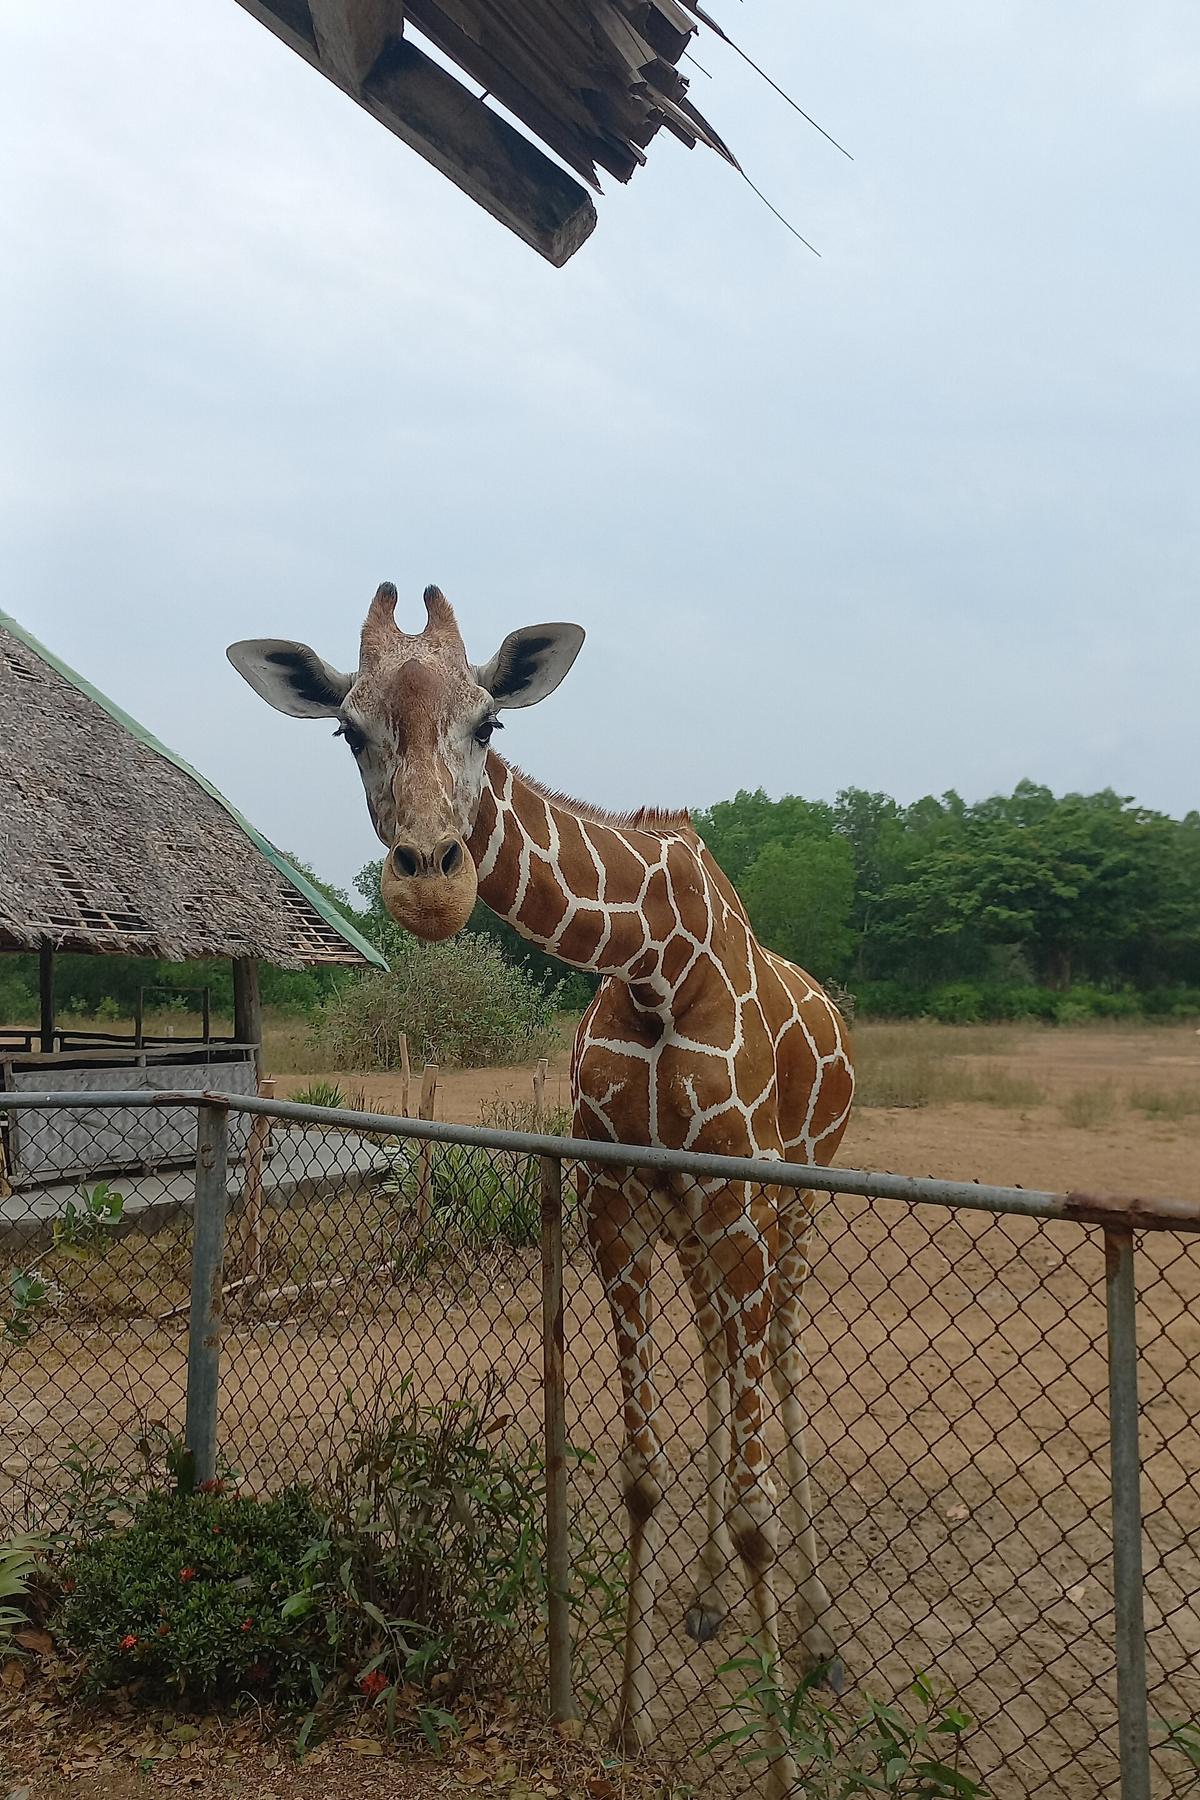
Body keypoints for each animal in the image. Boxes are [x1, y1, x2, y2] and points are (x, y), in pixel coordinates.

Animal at [228, 583, 854, 1794]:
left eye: (489, 722)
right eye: (348, 730)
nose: (431, 882)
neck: (658, 962)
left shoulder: (739, 1199)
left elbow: (756, 1497)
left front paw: (784, 1765)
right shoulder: (620, 1202)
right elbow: (642, 1474)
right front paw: (627, 1721)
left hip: (800, 1196)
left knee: (788, 1363)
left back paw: (818, 1641)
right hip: (698, 1228)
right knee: (725, 1352)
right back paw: (708, 1601)